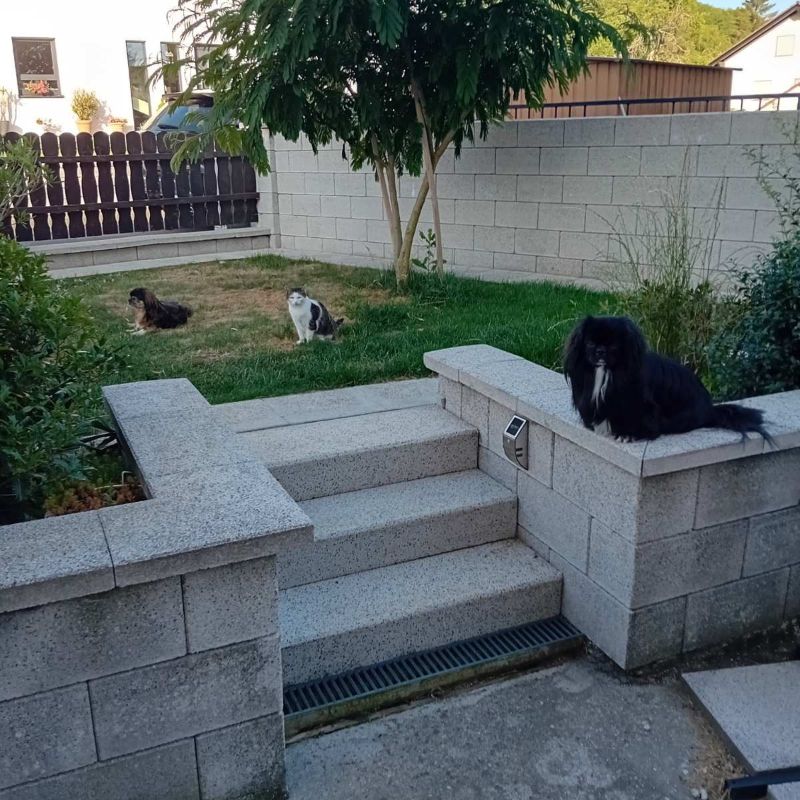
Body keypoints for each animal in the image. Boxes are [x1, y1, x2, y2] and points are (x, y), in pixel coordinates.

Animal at [564, 315, 771, 442]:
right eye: (590, 343)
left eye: (613, 345)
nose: (600, 351)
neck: (606, 372)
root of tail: (710, 409)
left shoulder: (637, 404)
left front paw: (628, 434)